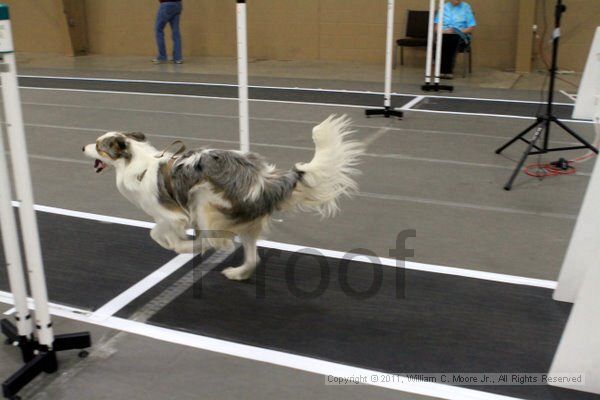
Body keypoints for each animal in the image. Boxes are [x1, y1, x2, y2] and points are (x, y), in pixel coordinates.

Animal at [82, 114, 364, 280]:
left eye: (98, 146)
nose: (82, 146)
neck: (136, 165)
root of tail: (264, 180)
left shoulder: (172, 215)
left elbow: (157, 232)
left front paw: (176, 243)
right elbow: (158, 232)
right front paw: (175, 242)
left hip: (203, 202)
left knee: (213, 241)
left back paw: (189, 248)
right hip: (244, 223)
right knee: (251, 257)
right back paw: (237, 273)